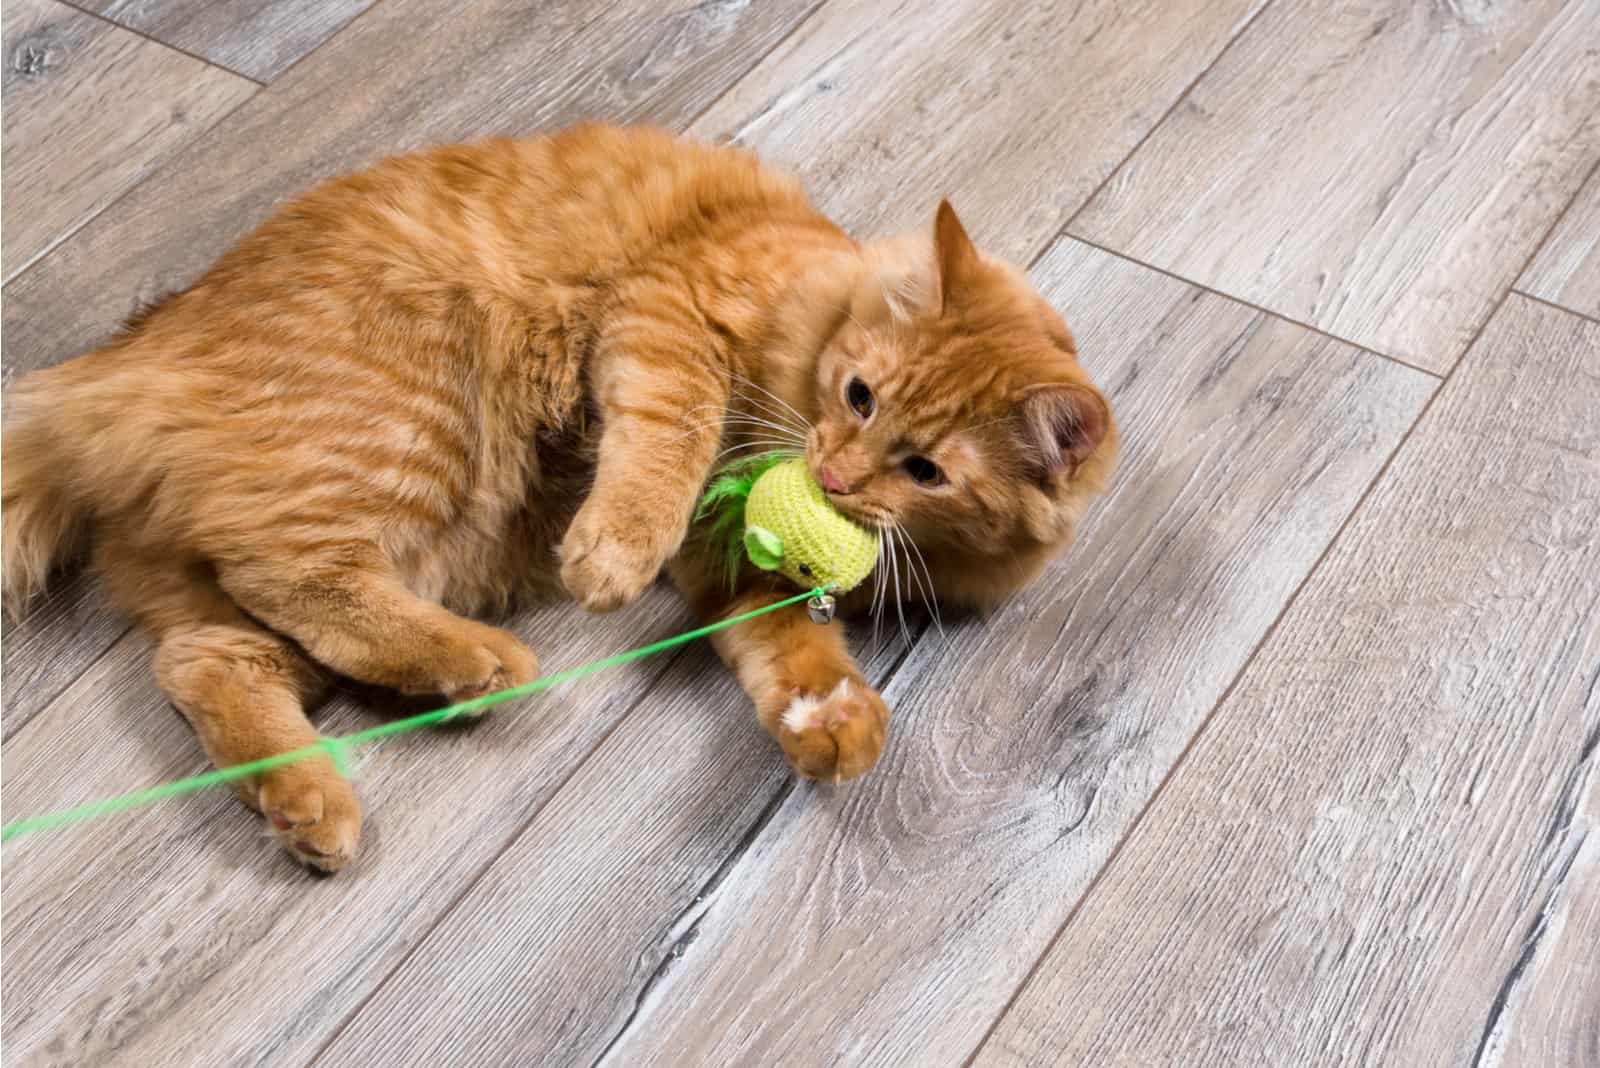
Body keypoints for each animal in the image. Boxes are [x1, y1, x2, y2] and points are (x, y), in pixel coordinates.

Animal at [3, 123, 1113, 869]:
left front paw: (832, 719)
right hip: (410, 430)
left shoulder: (733, 571)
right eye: (859, 395)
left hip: (321, 556)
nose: (834, 474)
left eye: (926, 473)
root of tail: (120, 362)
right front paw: (612, 550)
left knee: (207, 658)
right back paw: (482, 666)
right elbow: (667, 439)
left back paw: (310, 802)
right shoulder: (669, 316)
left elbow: (789, 647)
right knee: (293, 581)